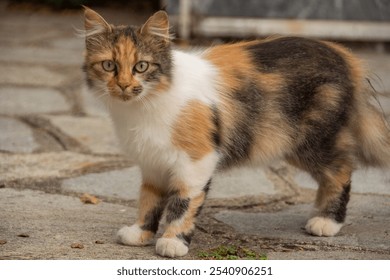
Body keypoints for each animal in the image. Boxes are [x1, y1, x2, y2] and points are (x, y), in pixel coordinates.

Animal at [82, 7, 390, 258]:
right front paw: (140, 233)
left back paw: (327, 222)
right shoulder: (152, 163)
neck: (143, 107)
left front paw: (172, 241)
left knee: (341, 170)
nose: (123, 85)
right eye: (109, 65)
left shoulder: (197, 160)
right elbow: (148, 200)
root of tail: (345, 55)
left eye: (141, 66)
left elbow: (182, 202)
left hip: (312, 141)